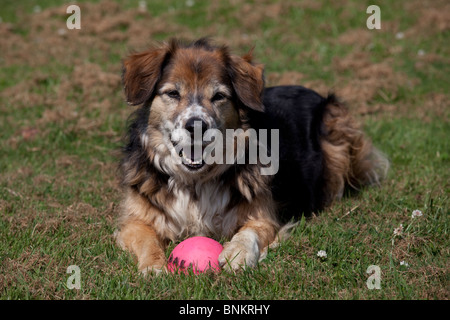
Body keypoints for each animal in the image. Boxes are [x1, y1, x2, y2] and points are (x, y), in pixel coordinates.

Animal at [114, 38, 388, 274]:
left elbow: (250, 232)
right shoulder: (135, 221)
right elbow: (146, 239)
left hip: (335, 125)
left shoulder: (265, 216)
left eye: (218, 96)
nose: (197, 126)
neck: (195, 182)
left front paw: (238, 253)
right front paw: (154, 266)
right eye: (172, 93)